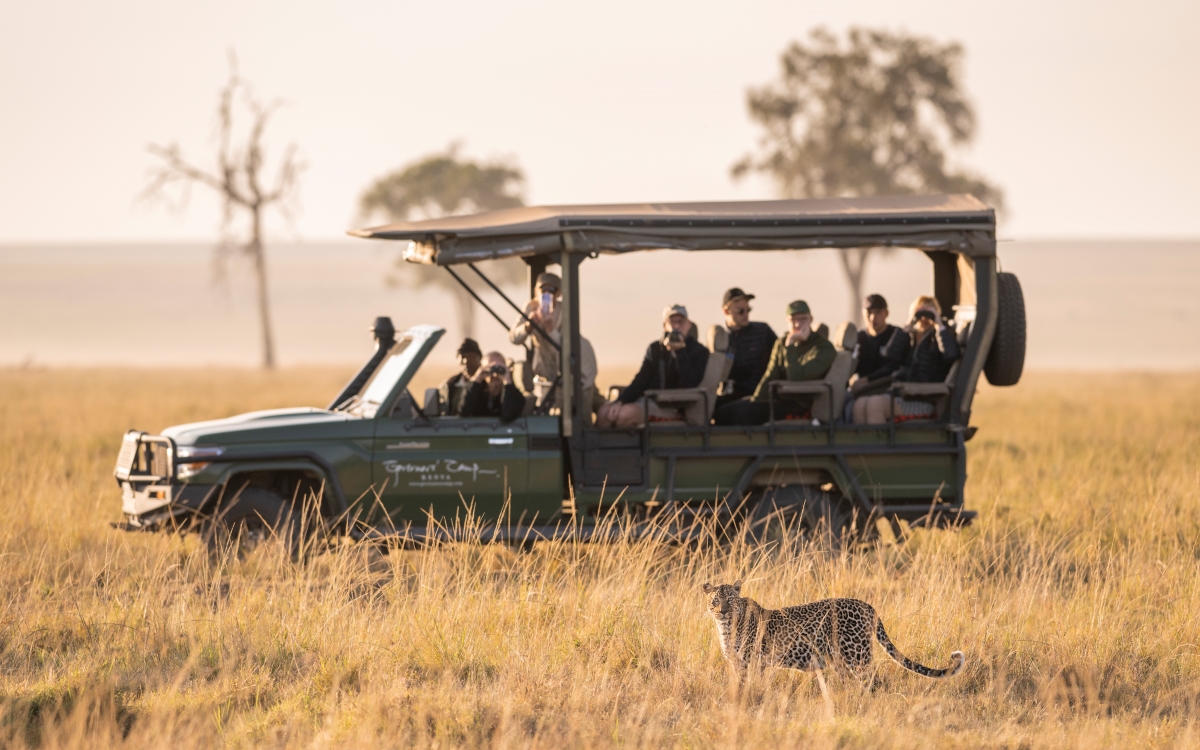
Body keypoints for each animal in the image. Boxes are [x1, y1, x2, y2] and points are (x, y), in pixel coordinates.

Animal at [700, 583, 964, 681]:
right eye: (715, 600)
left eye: (730, 599)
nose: (723, 611)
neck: (726, 628)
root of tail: (868, 606)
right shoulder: (739, 664)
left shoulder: (752, 664)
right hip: (840, 659)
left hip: (857, 654)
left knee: (872, 680)